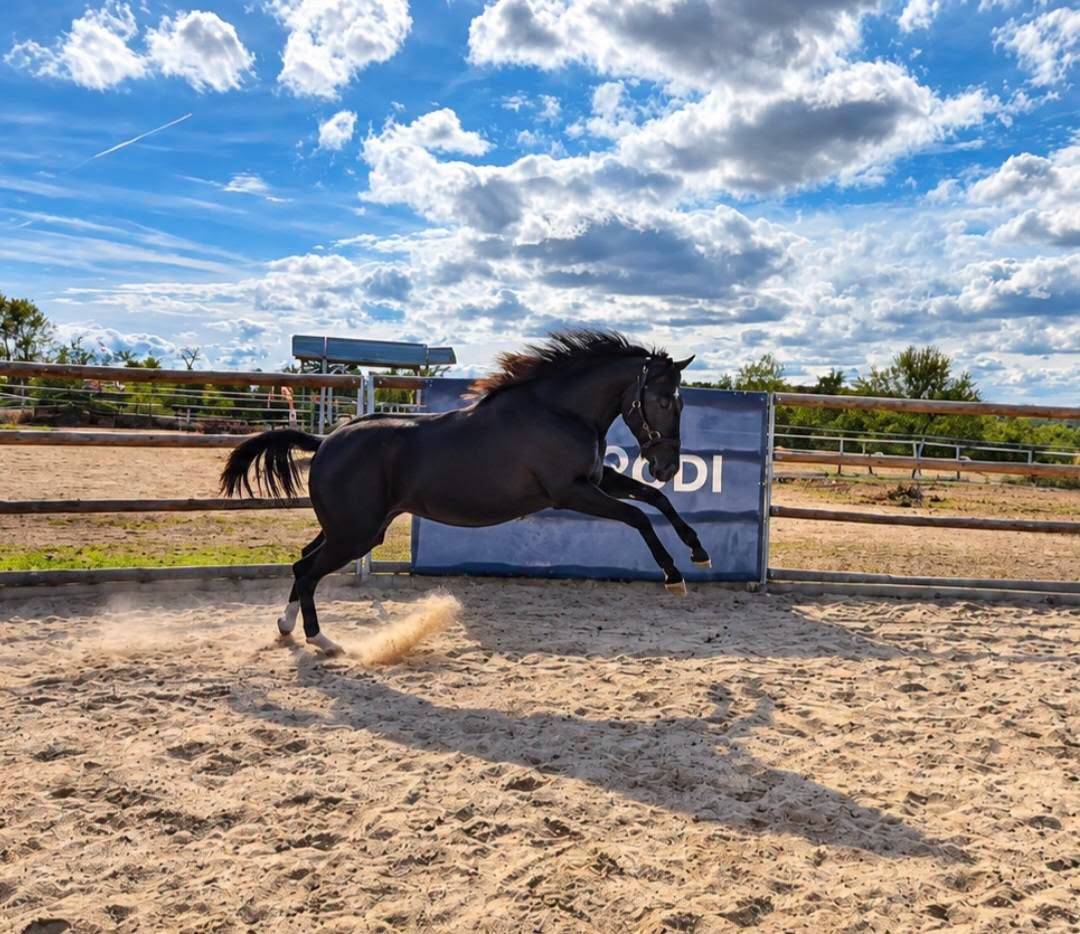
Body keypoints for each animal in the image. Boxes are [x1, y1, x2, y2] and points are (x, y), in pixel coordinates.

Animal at [221, 330, 709, 654]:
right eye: (662, 400)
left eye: (682, 401)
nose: (667, 466)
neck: (558, 411)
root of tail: (325, 441)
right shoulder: (570, 491)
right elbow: (639, 516)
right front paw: (674, 577)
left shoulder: (598, 480)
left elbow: (656, 501)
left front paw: (699, 553)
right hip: (354, 535)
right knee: (307, 571)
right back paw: (323, 641)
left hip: (349, 528)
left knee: (301, 561)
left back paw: (286, 627)